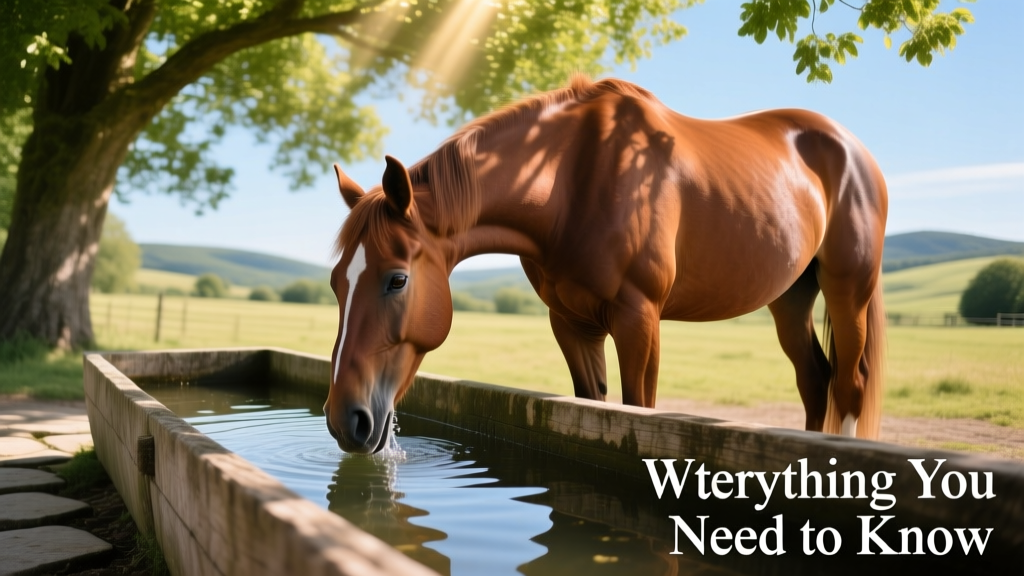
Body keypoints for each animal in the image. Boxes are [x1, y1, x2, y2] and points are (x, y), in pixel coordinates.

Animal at [325, 76, 887, 454]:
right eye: (335, 283)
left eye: (397, 279)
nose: (343, 420)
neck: (574, 178)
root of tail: (852, 149)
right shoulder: (572, 323)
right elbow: (589, 403)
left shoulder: (639, 319)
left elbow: (638, 409)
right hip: (790, 298)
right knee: (815, 381)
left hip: (847, 290)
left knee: (848, 385)